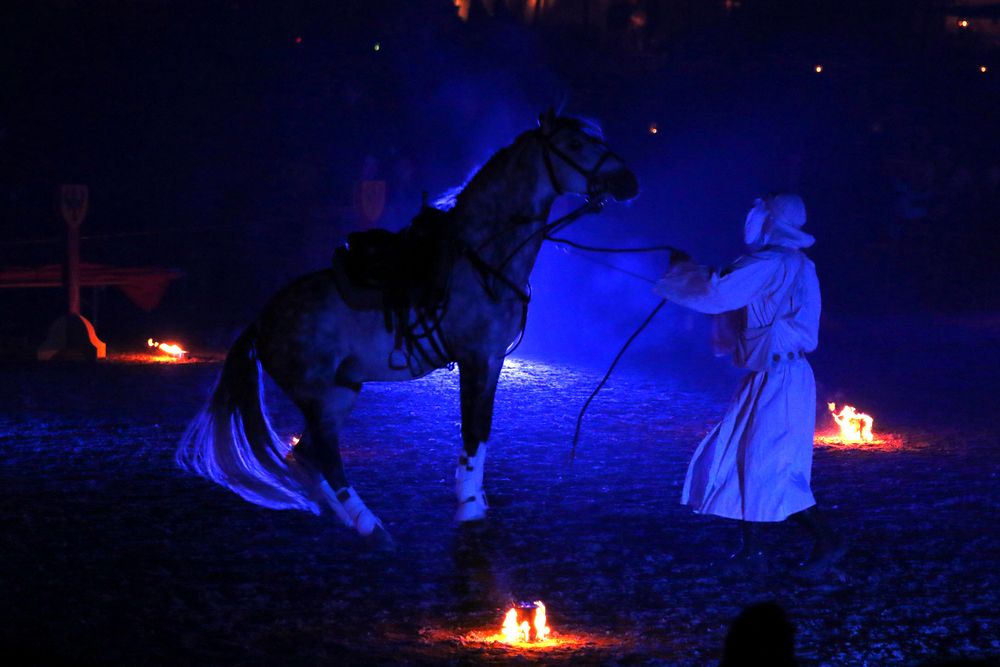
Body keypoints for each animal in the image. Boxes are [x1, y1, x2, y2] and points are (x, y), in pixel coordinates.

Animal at [176, 112, 636, 540]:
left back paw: (348, 519)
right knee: (324, 457)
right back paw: (369, 524)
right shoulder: (476, 358)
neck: (482, 258)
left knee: (306, 455)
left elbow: (482, 427)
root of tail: (261, 321)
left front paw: (473, 494)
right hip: (320, 398)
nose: (628, 181)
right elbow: (473, 428)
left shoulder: (491, 364)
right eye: (574, 144)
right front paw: (469, 506)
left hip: (340, 393)